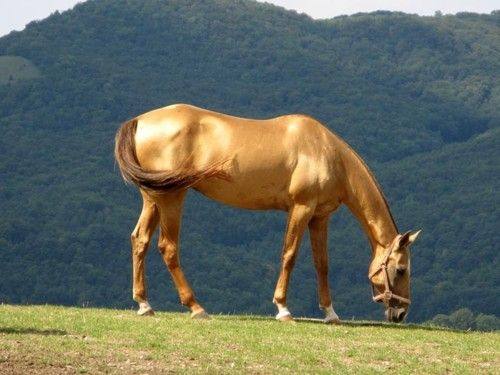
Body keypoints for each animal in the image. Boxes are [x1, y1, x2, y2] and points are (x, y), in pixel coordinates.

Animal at [115, 103, 420, 324]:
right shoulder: (301, 209)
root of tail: (140, 120)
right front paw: (283, 309)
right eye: (401, 269)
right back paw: (196, 307)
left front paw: (330, 313)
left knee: (140, 240)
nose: (401, 314)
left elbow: (322, 263)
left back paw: (144, 305)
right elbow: (289, 255)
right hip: (172, 198)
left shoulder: (320, 217)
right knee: (168, 247)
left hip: (153, 199)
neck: (327, 153)